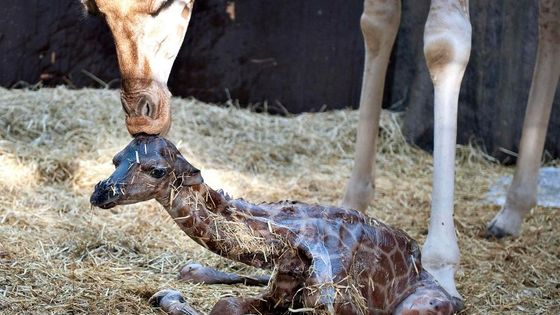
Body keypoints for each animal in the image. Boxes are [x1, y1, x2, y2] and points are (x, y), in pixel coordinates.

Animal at [91, 136, 460, 315]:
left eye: (157, 170)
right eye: (116, 159)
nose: (100, 192)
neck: (291, 239)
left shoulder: (336, 304)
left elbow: (223, 306)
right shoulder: (281, 288)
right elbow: (227, 304)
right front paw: (166, 295)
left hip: (421, 306)